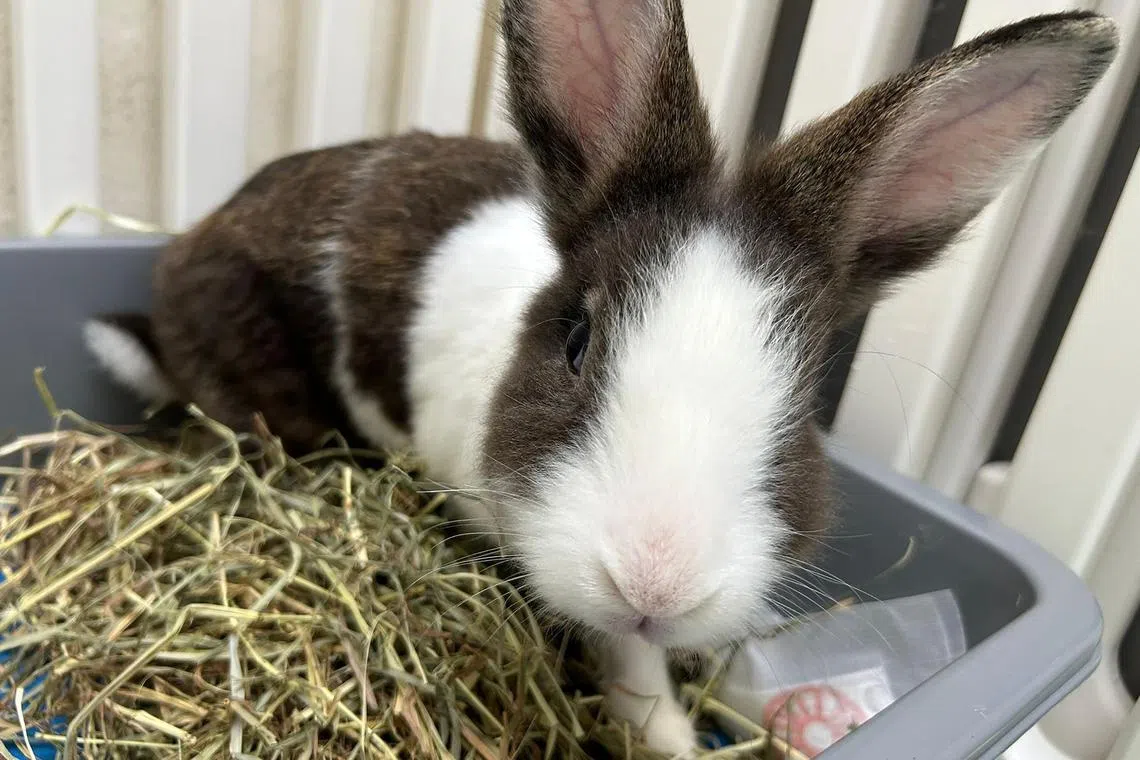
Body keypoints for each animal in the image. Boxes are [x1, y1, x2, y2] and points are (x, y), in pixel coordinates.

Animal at [84, 0, 1117, 754]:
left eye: (806, 393)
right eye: (576, 339)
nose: (656, 580)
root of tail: (177, 266)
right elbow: (627, 662)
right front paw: (667, 733)